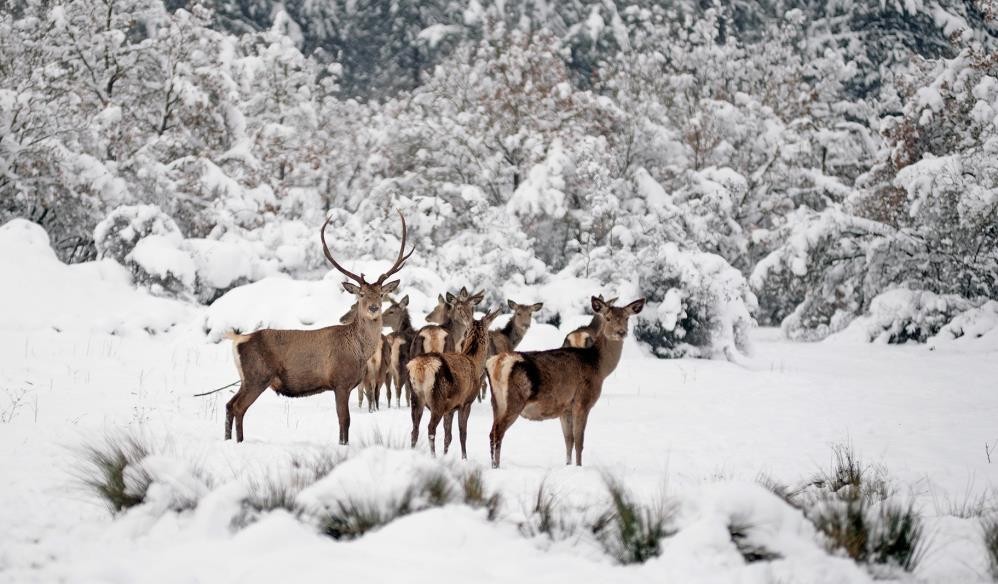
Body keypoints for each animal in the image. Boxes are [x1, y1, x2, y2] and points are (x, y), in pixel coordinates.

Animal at [225, 210, 412, 442]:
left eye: (381, 294)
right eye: (361, 294)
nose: (374, 307)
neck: (359, 351)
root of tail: (238, 339)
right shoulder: (340, 382)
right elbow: (344, 420)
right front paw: (343, 444)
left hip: (246, 379)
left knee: (229, 405)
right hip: (257, 376)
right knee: (238, 407)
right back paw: (239, 441)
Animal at [404, 308, 500, 458]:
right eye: (489, 334)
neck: (474, 362)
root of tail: (421, 367)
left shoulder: (450, 408)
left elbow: (448, 436)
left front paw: (446, 455)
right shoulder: (466, 402)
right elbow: (462, 433)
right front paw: (464, 457)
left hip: (416, 396)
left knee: (415, 429)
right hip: (438, 398)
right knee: (430, 428)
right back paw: (433, 456)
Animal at [486, 294, 648, 468]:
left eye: (626, 318)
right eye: (608, 318)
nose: (621, 332)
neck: (599, 367)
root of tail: (497, 363)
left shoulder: (565, 408)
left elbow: (568, 440)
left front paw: (568, 465)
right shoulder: (582, 401)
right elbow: (579, 441)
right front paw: (579, 467)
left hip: (496, 402)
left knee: (492, 432)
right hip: (514, 400)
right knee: (498, 432)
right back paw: (496, 466)